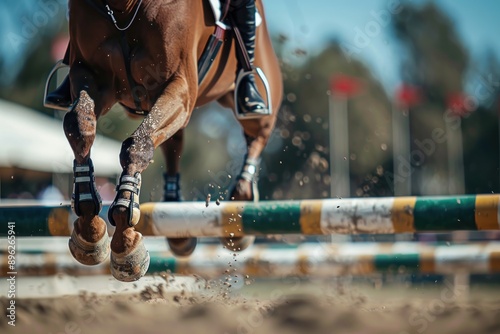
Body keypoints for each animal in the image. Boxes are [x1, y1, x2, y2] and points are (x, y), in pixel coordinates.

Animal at [62, 0, 282, 282]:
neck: (122, 9)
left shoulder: (179, 85)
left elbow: (137, 145)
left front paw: (125, 238)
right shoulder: (89, 74)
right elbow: (78, 125)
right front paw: (90, 226)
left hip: (255, 102)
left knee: (257, 135)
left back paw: (240, 202)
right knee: (173, 144)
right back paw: (176, 219)